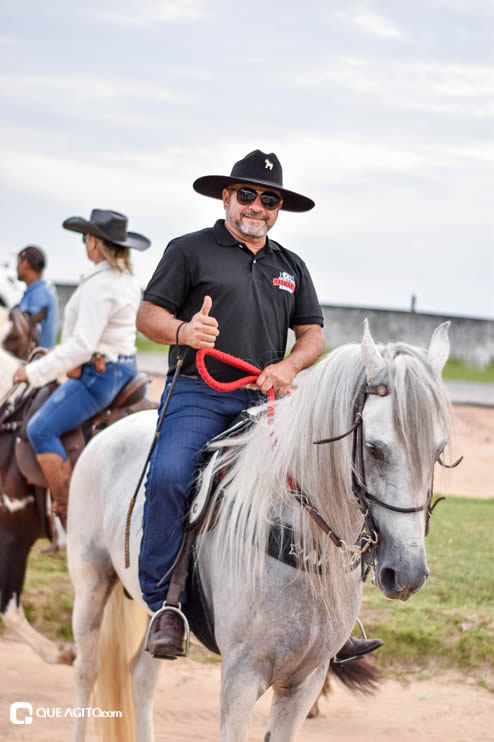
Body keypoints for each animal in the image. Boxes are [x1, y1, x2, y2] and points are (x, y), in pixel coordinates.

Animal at [67, 324, 454, 742]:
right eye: (375, 449)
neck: (299, 543)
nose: (407, 572)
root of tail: (111, 429)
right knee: (87, 671)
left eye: (438, 452)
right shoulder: (241, 677)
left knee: (140, 679)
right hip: (91, 583)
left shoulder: (305, 682)